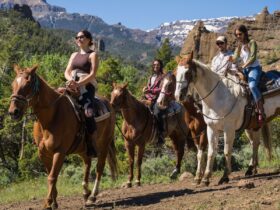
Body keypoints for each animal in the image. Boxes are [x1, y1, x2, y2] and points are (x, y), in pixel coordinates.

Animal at [7, 65, 117, 208]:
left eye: (28, 84)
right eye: (13, 84)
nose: (13, 112)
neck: (50, 118)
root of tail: (108, 104)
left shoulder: (60, 152)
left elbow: (52, 177)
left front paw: (48, 203)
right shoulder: (43, 153)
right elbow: (51, 176)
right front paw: (54, 202)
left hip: (104, 145)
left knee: (99, 167)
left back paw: (92, 195)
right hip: (83, 148)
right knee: (87, 163)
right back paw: (85, 192)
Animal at [174, 52, 278, 185]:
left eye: (187, 72)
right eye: (176, 72)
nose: (178, 95)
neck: (218, 96)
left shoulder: (228, 129)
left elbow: (226, 151)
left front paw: (225, 176)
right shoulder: (211, 128)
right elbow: (211, 152)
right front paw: (206, 178)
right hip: (252, 126)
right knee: (255, 143)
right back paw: (251, 169)